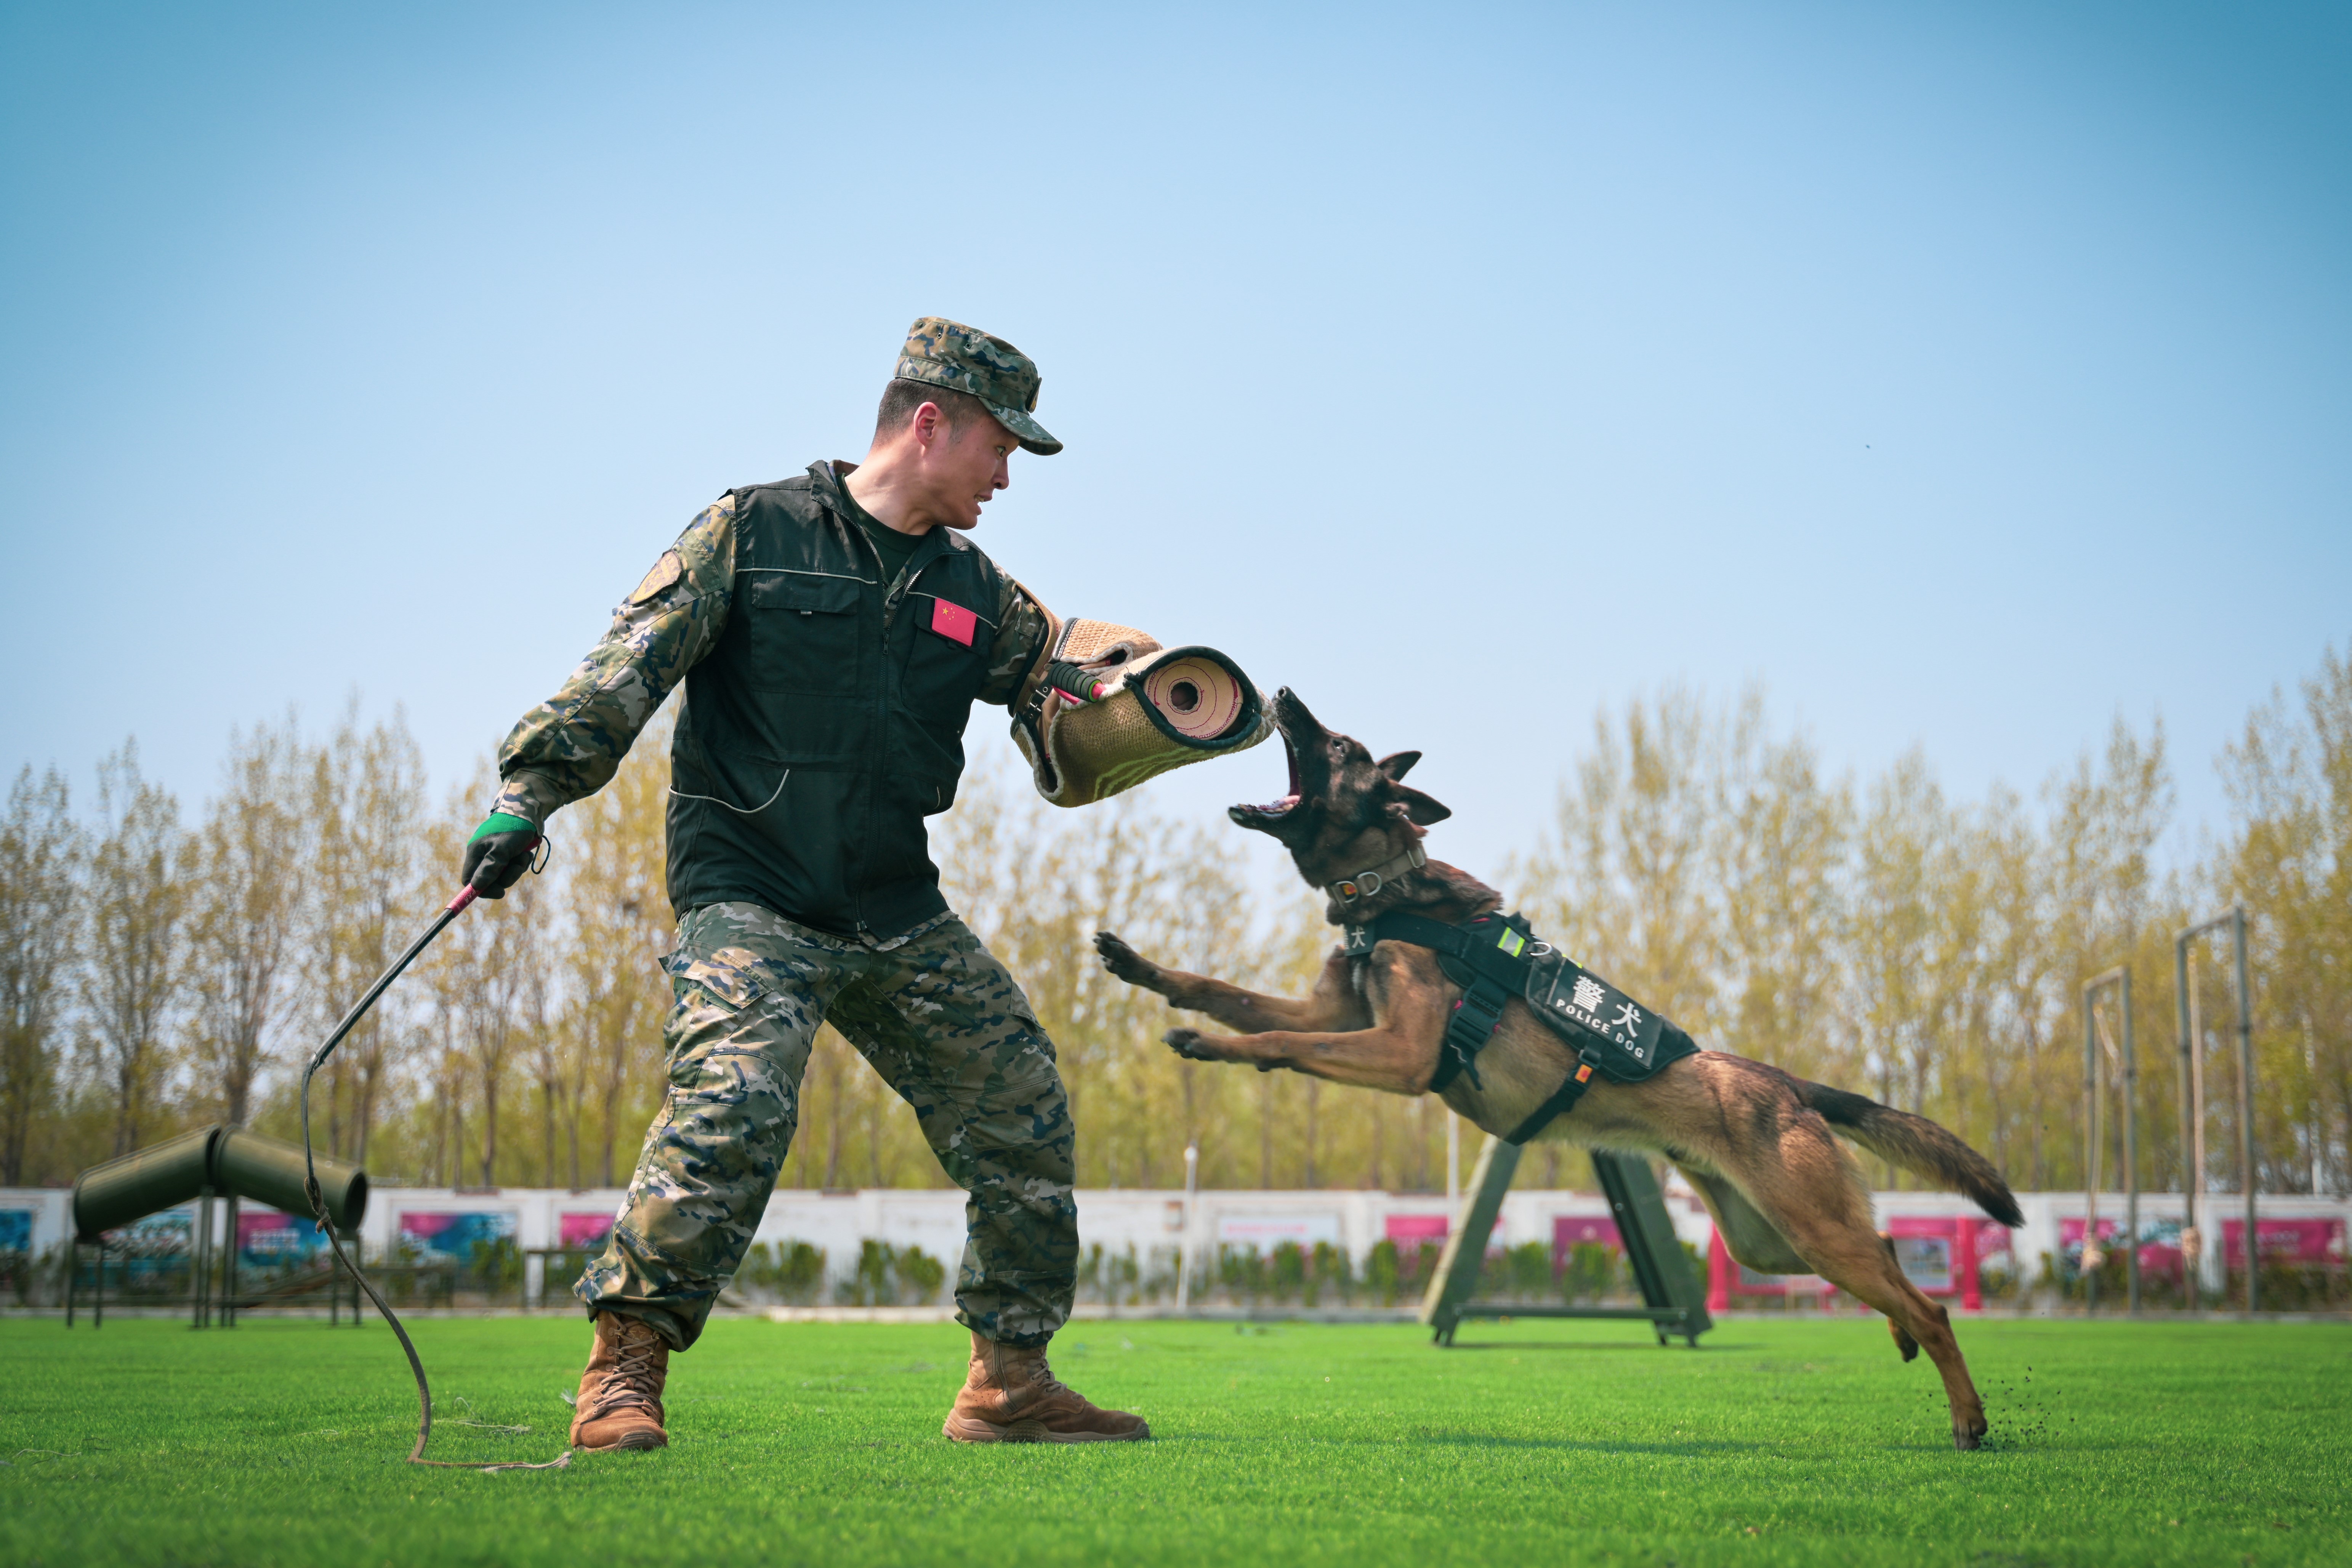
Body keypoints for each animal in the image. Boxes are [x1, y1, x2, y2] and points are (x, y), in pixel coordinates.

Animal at [1091, 691, 2032, 1457]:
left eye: (1340, 744)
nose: (1282, 692)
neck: (1387, 891)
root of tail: (1789, 1086)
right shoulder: (1337, 1016)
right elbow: (1224, 991)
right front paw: (1143, 968)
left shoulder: (1397, 1053)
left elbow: (1280, 1043)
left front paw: (1211, 1049)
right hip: (1769, 1242)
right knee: (1891, 1262)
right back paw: (1904, 1339)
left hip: (1805, 1229)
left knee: (1931, 1305)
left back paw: (1967, 1417)